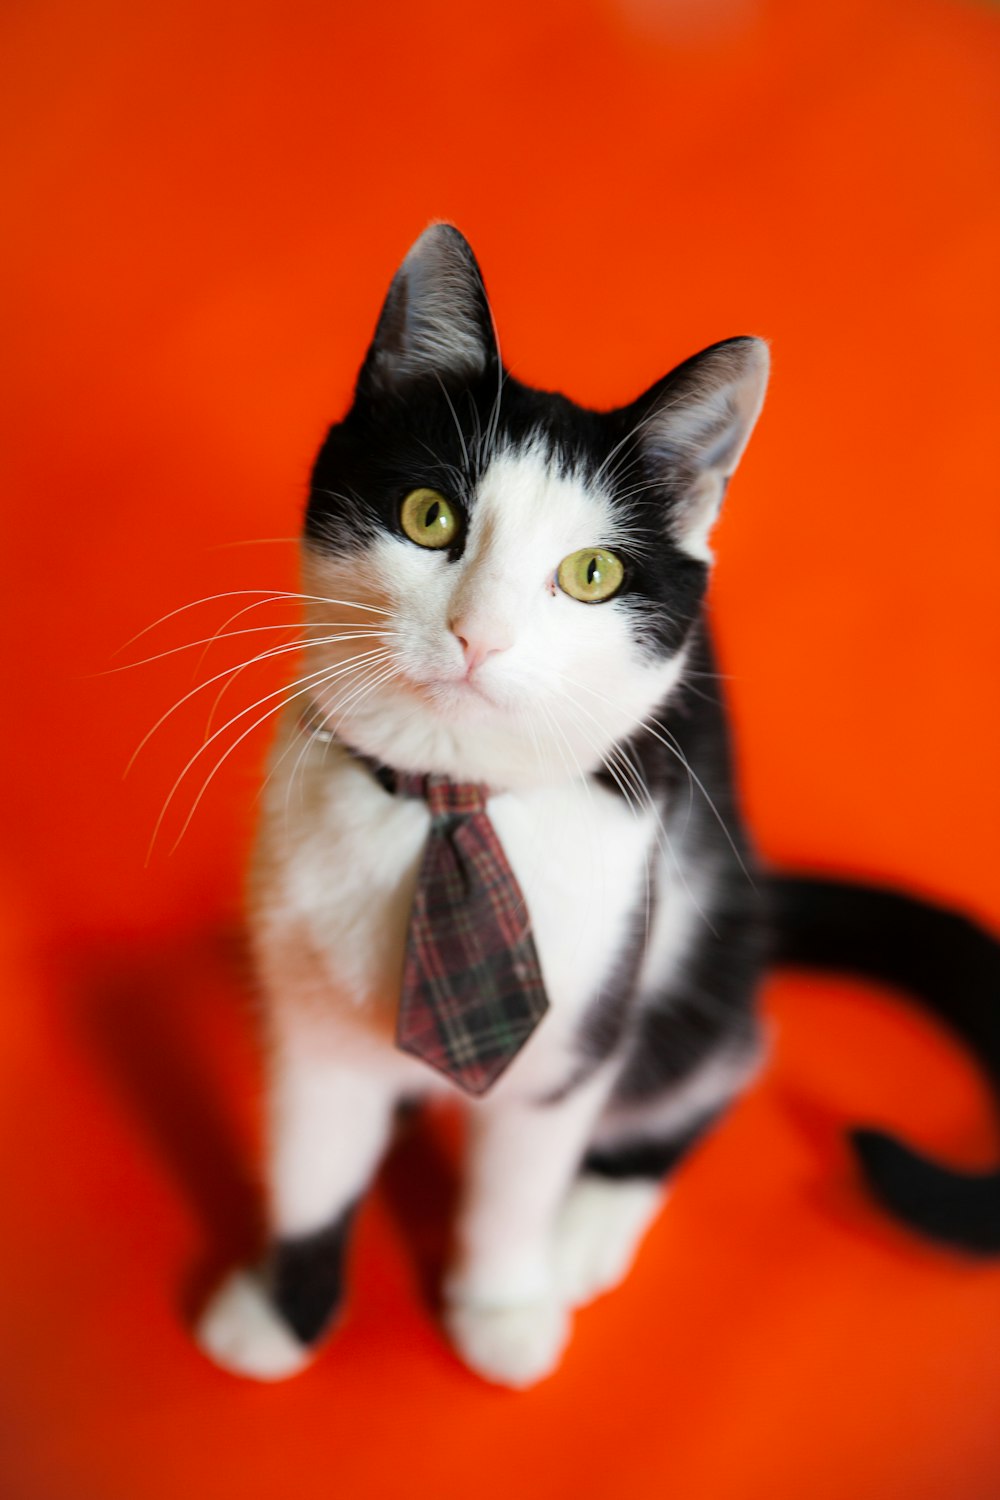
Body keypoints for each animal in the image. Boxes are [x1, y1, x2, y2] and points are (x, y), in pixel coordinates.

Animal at [193, 225, 1000, 1392]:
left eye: (589, 574)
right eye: (429, 516)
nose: (477, 634)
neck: (454, 804)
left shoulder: (588, 998)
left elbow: (520, 1174)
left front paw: (500, 1306)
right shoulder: (310, 1015)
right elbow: (313, 1161)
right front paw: (279, 1314)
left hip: (695, 941)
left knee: (720, 1057)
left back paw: (585, 1227)